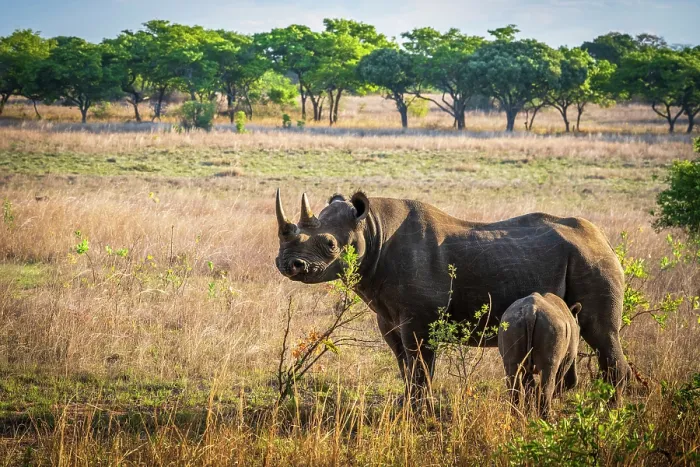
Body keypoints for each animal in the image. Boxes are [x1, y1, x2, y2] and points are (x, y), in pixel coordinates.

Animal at [274, 189, 631, 401]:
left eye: (330, 244)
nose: (288, 264)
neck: (373, 230)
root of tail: (603, 239)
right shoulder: (387, 317)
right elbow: (404, 363)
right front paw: (407, 405)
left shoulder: (419, 319)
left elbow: (420, 365)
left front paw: (420, 412)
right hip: (587, 256)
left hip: (592, 259)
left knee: (601, 334)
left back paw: (612, 409)